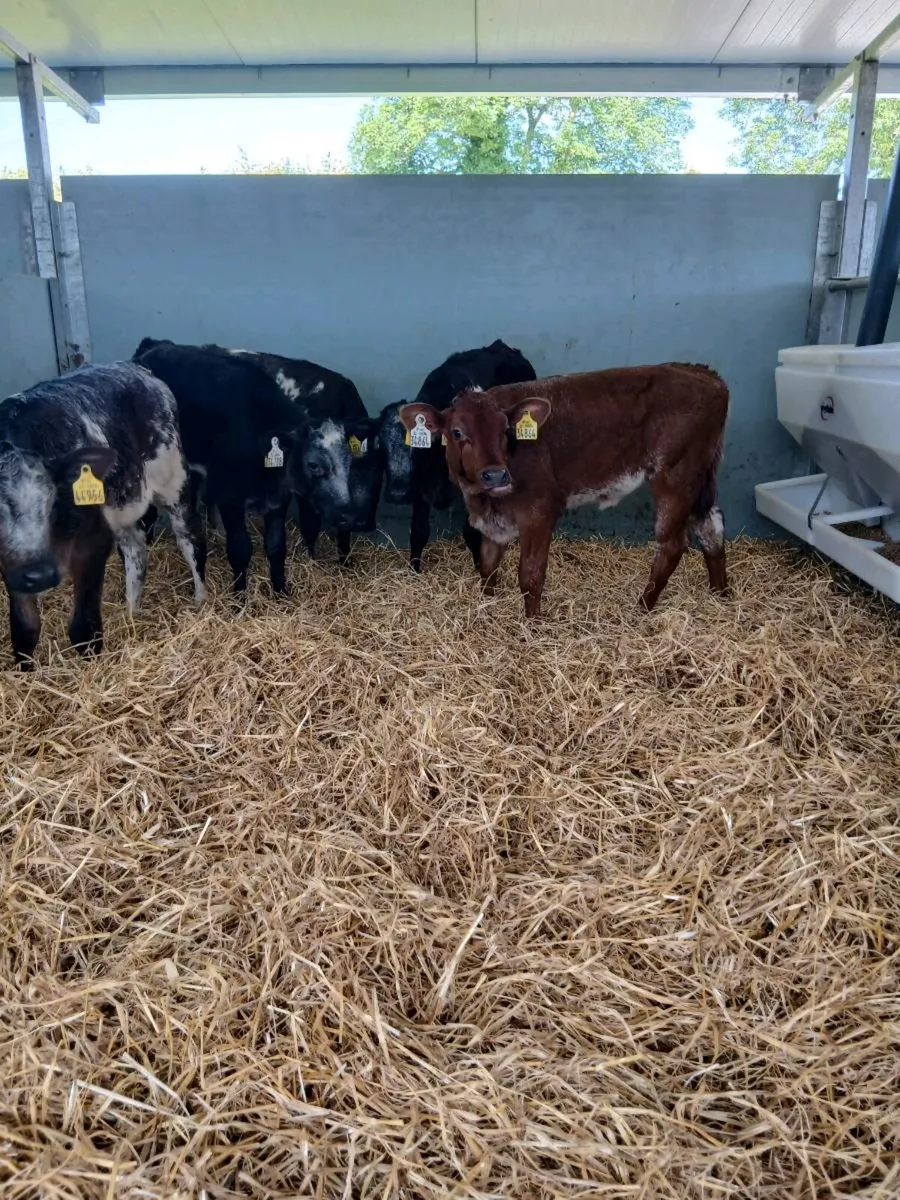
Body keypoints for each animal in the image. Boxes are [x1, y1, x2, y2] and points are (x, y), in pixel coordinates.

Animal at [0, 362, 206, 668]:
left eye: (53, 501)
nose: (40, 575)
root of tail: (138, 368)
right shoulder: (13, 567)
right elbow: (24, 630)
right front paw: (25, 671)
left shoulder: (92, 541)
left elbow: (83, 628)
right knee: (136, 552)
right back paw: (132, 613)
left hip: (174, 482)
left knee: (191, 540)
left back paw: (202, 601)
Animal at [132, 340, 307, 594]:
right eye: (314, 463)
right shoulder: (230, 496)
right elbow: (240, 548)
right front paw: (240, 595)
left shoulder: (278, 500)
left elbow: (276, 546)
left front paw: (281, 591)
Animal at [377, 340, 537, 572]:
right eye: (380, 444)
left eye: (416, 447)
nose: (398, 494)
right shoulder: (421, 487)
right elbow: (418, 531)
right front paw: (414, 570)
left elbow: (471, 533)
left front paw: (480, 568)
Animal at [399, 363, 729, 618]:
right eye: (457, 432)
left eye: (505, 430)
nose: (495, 475)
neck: (485, 501)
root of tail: (705, 374)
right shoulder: (494, 523)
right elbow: (488, 566)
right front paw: (487, 607)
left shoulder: (539, 512)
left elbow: (530, 575)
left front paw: (532, 625)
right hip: (699, 481)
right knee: (711, 530)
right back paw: (720, 596)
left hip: (675, 478)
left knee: (671, 545)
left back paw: (642, 609)